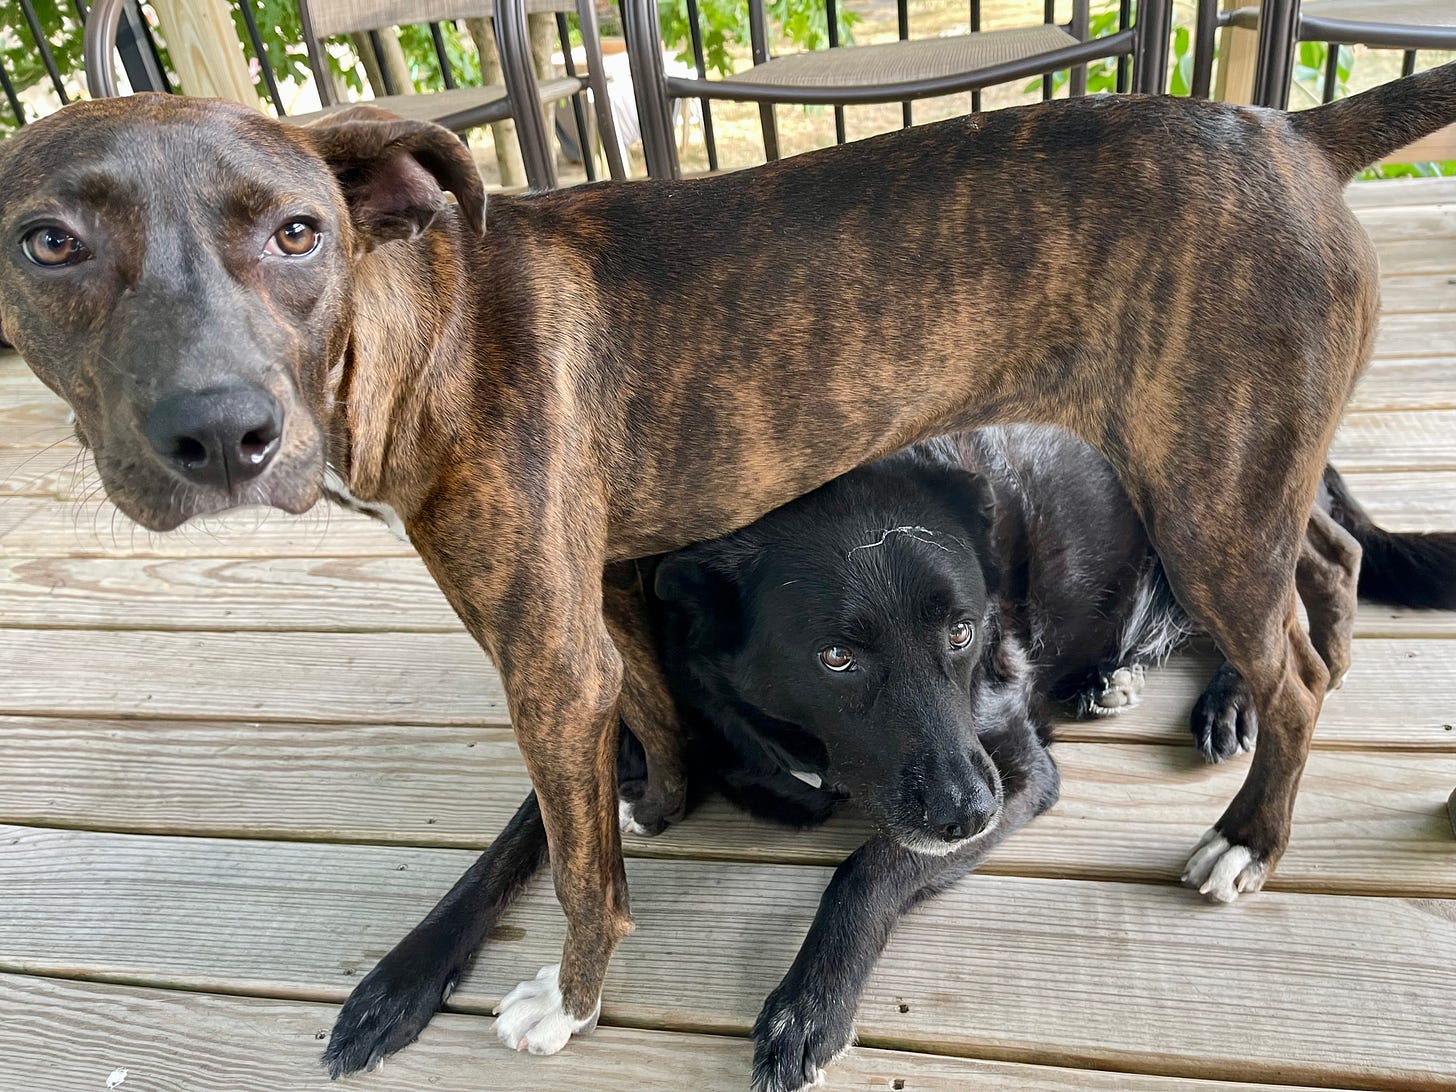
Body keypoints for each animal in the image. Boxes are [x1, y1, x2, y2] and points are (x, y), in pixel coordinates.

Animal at [324, 430, 1450, 1092]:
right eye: (837, 657)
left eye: (960, 631)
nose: (966, 812)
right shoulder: (626, 732)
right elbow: (506, 851)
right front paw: (395, 984)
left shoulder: (1012, 772)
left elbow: (867, 866)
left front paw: (807, 1005)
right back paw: (1111, 677)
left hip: (1210, 532)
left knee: (1295, 626)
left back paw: (1230, 716)